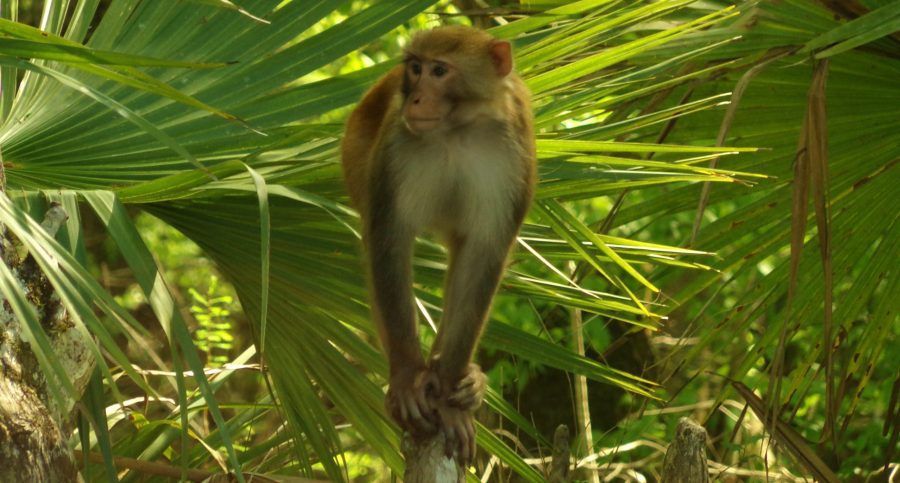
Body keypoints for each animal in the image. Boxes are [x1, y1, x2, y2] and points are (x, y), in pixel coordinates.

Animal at [341, 25, 535, 462]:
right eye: (415, 68)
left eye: (440, 71)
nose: (414, 97)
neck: (457, 129)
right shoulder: (396, 148)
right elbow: (390, 239)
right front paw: (408, 377)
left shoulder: (511, 155)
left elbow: (484, 255)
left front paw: (449, 395)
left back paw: (458, 374)